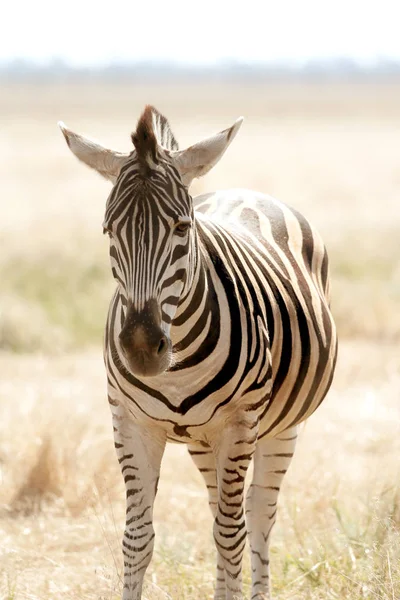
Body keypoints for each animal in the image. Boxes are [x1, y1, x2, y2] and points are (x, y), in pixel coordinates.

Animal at [58, 108, 338, 600]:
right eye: (109, 230)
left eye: (182, 229)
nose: (141, 348)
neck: (176, 370)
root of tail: (242, 192)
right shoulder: (130, 423)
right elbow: (138, 538)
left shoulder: (240, 423)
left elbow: (231, 536)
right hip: (204, 440)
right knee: (220, 509)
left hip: (278, 428)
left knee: (256, 516)